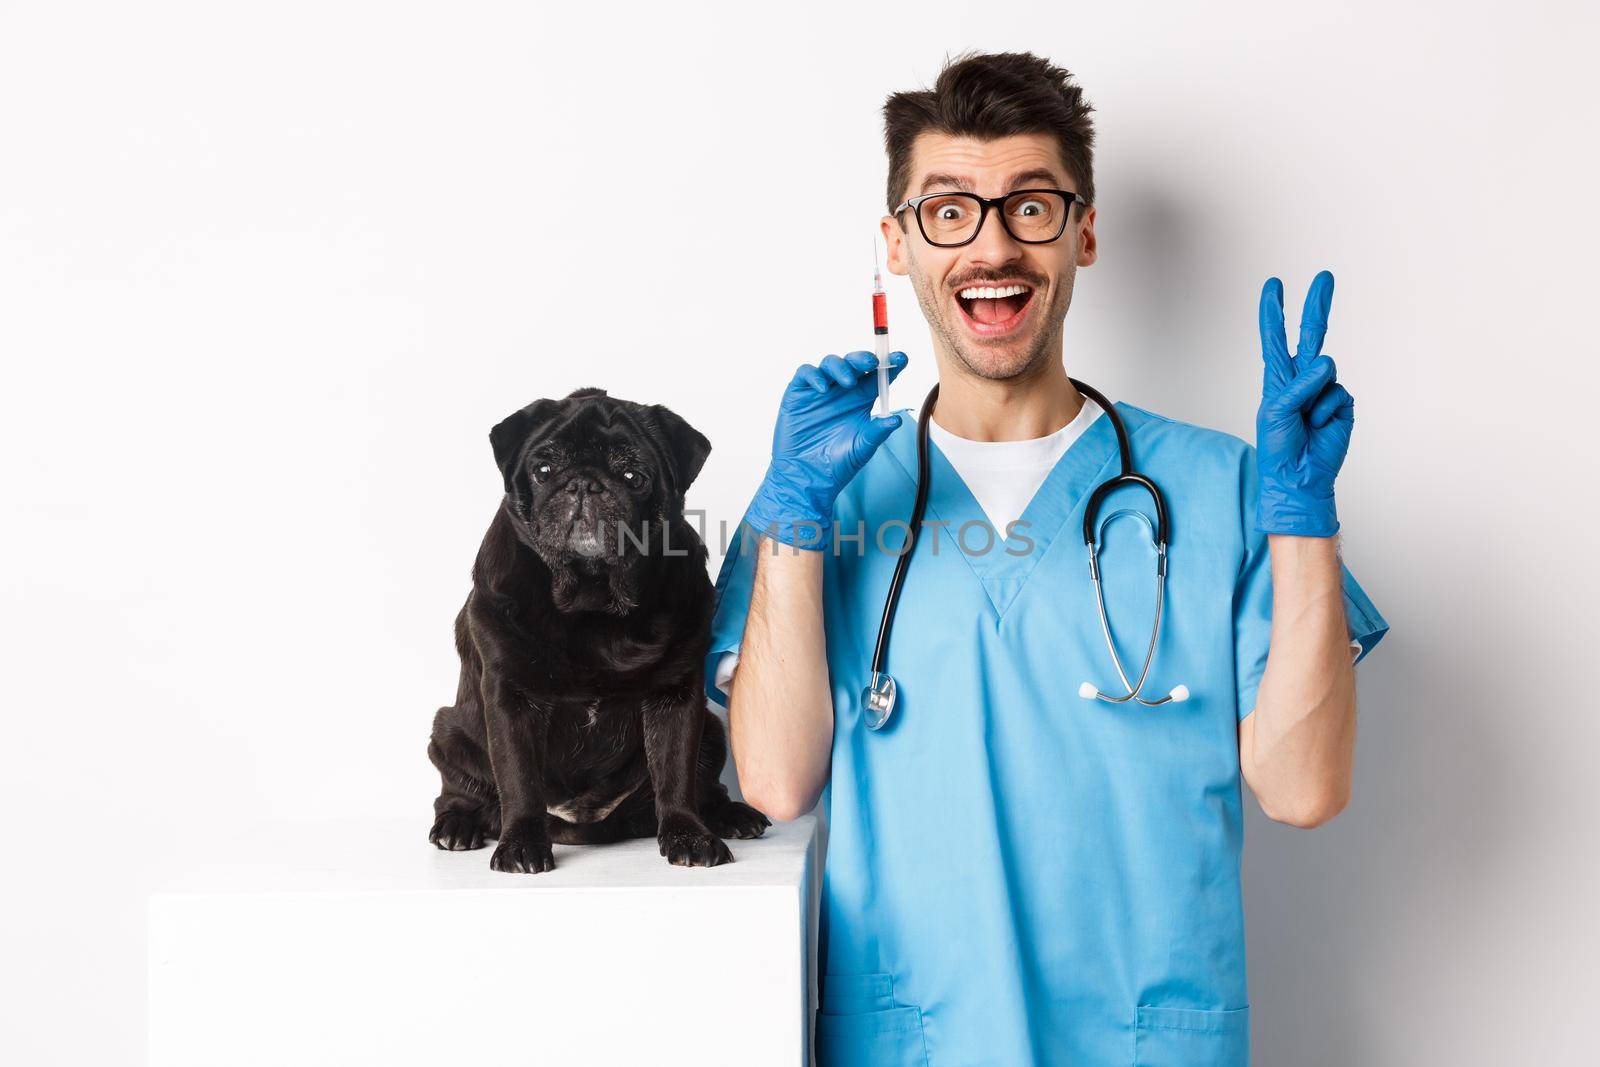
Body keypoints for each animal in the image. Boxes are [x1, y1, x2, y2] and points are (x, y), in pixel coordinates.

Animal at [428, 388, 771, 870]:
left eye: (633, 476)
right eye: (543, 470)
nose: (584, 484)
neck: (592, 599)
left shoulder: (676, 698)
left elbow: (676, 773)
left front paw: (688, 836)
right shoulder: (511, 699)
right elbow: (518, 779)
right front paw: (521, 844)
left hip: (711, 730)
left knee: (704, 785)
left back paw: (729, 815)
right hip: (448, 732)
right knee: (457, 789)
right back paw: (458, 825)